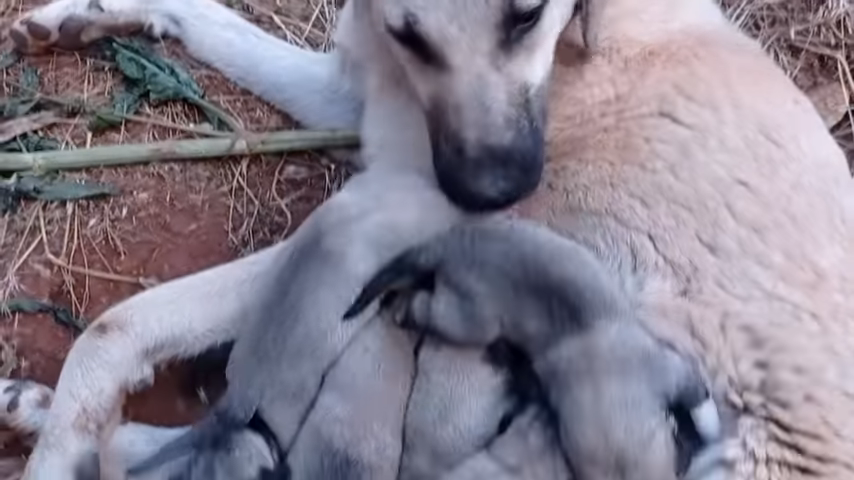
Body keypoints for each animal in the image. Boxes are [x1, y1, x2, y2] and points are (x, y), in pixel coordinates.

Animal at [344, 219, 724, 480]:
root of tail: (449, 246)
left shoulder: (667, 369)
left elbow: (700, 401)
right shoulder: (668, 369)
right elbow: (700, 397)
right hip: (470, 318)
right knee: (426, 306)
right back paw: (404, 310)